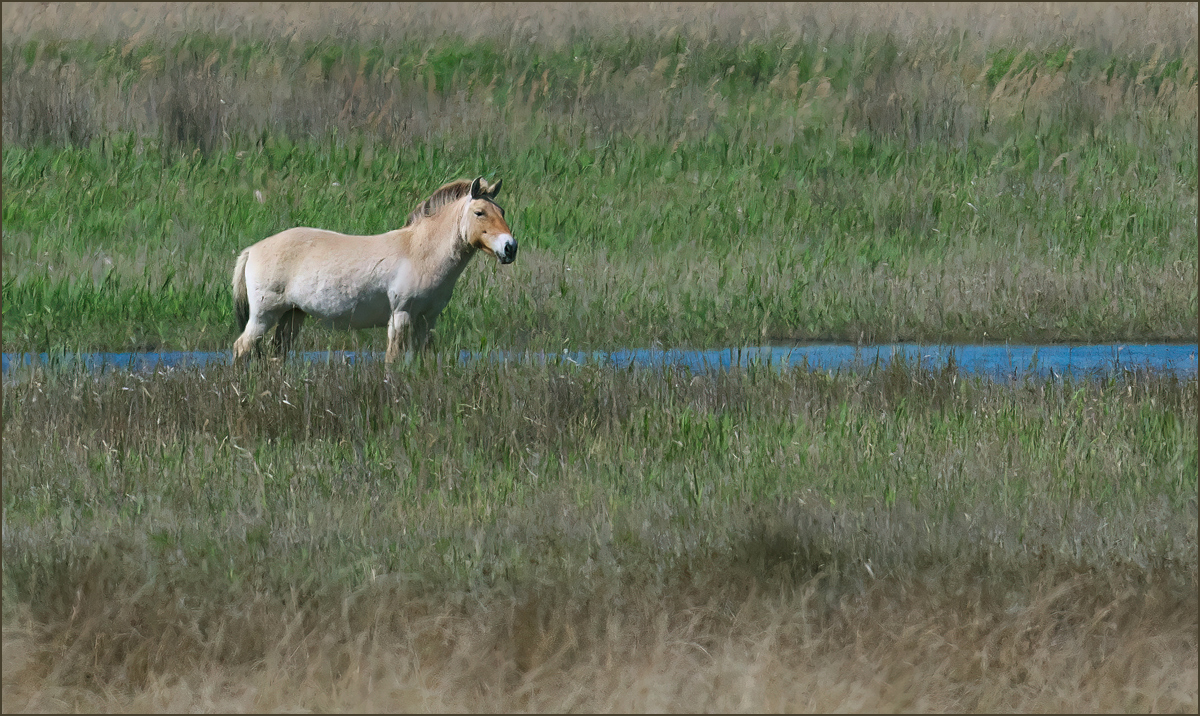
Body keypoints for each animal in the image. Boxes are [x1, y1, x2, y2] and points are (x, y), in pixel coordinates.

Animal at [231, 176, 515, 364]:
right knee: (241, 347)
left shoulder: (427, 319)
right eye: (479, 212)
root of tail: (252, 249)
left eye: (501, 210)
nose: (510, 247)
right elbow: (393, 360)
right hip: (263, 315)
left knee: (278, 353)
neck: (420, 252)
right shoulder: (400, 315)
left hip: (292, 315)